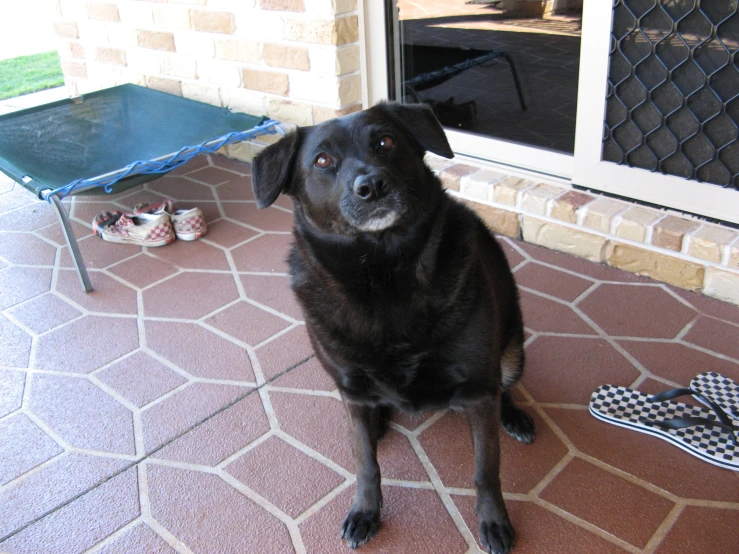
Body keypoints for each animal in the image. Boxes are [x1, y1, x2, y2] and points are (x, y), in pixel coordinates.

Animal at [251, 101, 536, 548]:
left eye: (385, 142)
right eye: (322, 161)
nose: (371, 185)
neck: (384, 276)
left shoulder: (477, 389)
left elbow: (486, 468)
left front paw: (493, 520)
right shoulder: (350, 389)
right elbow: (365, 463)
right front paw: (365, 511)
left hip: (511, 354)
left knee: (504, 387)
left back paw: (514, 416)